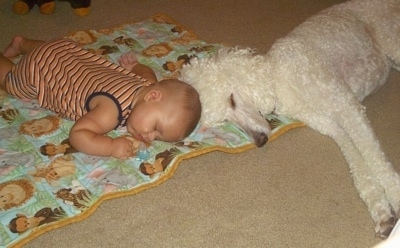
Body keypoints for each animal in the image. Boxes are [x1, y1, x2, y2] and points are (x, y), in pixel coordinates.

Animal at [180, 0, 400, 238]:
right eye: (224, 119)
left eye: (231, 100)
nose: (259, 141)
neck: (281, 77)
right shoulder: (331, 124)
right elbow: (360, 168)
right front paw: (381, 211)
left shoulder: (347, 107)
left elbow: (376, 160)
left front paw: (396, 197)